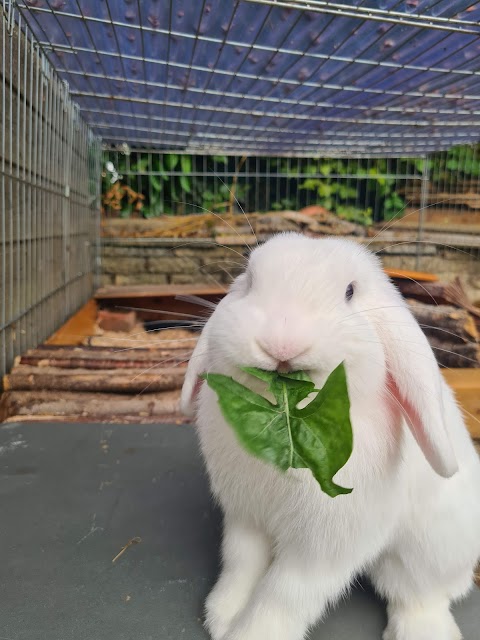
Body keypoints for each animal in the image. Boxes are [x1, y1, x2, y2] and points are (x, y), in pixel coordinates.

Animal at [179, 234, 480, 640]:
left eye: (350, 292)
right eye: (250, 281)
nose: (281, 345)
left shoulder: (326, 545)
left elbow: (283, 593)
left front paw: (251, 633)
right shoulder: (246, 517)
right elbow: (241, 564)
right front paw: (222, 616)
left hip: (425, 554)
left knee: (420, 595)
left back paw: (422, 631)